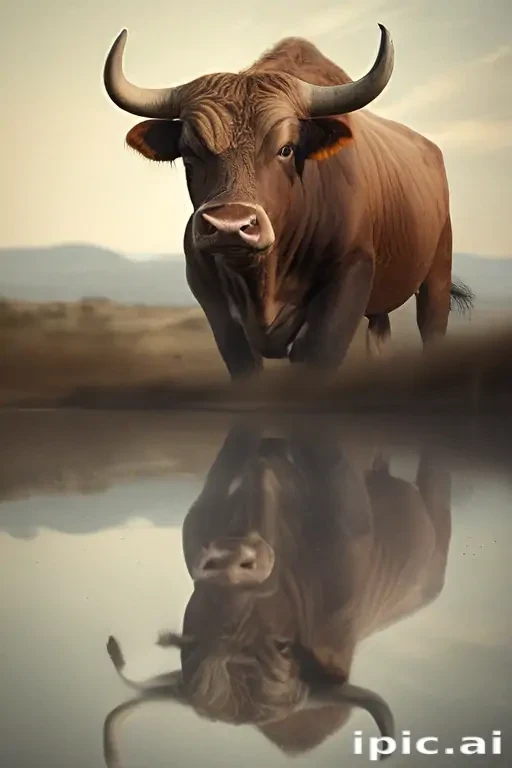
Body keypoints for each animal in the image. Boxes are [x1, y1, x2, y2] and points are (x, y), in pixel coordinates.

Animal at [103, 25, 474, 380]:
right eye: (190, 153)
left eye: (286, 149)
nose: (230, 226)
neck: (265, 276)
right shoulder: (214, 302)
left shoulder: (348, 282)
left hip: (436, 279)